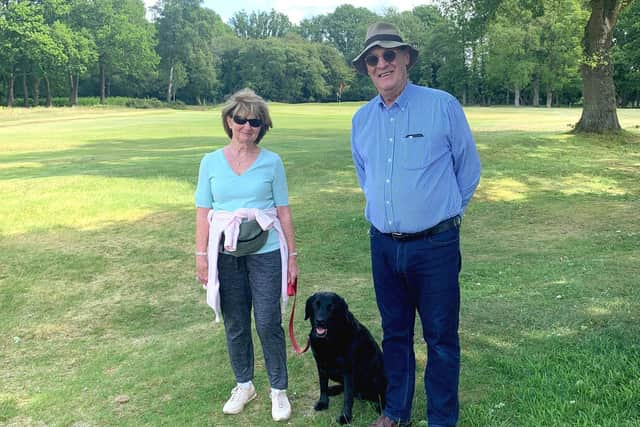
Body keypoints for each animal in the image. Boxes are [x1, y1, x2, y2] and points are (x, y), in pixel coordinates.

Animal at [304, 290, 384, 424]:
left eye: (331, 307)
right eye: (316, 304)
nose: (320, 321)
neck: (329, 341)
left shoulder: (348, 371)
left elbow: (347, 397)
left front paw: (345, 417)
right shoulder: (321, 365)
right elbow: (323, 386)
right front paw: (323, 402)